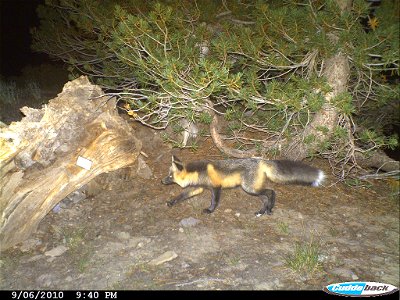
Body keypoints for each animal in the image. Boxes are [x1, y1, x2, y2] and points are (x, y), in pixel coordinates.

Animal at [161, 156, 324, 217]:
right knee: (265, 197)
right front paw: (171, 202)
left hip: (249, 188)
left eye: (170, 176)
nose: (162, 181)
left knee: (271, 192)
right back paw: (262, 211)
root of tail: (261, 160)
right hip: (253, 190)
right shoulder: (197, 188)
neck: (198, 172)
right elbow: (181, 196)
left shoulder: (216, 187)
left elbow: (215, 201)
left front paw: (210, 210)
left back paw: (269, 209)